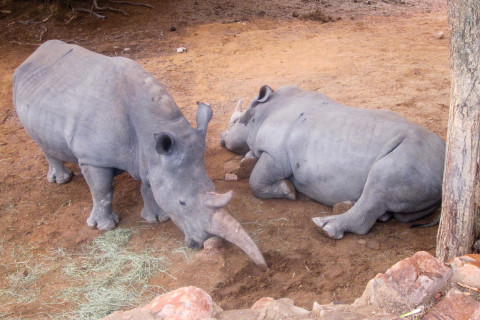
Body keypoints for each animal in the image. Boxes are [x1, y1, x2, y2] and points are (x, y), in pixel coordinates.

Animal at [15, 40, 268, 270]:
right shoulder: (93, 158)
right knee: (39, 139)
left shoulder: (153, 156)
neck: (153, 127)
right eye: (182, 202)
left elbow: (149, 187)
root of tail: (33, 54)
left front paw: (156, 219)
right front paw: (104, 227)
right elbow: (102, 190)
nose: (206, 241)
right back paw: (61, 180)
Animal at [221, 85, 446, 240]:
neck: (261, 113)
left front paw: (287, 190)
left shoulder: (275, 155)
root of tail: (445, 159)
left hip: (412, 156)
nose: (222, 139)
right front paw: (248, 158)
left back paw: (325, 226)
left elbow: (256, 182)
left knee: (379, 183)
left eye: (233, 123)